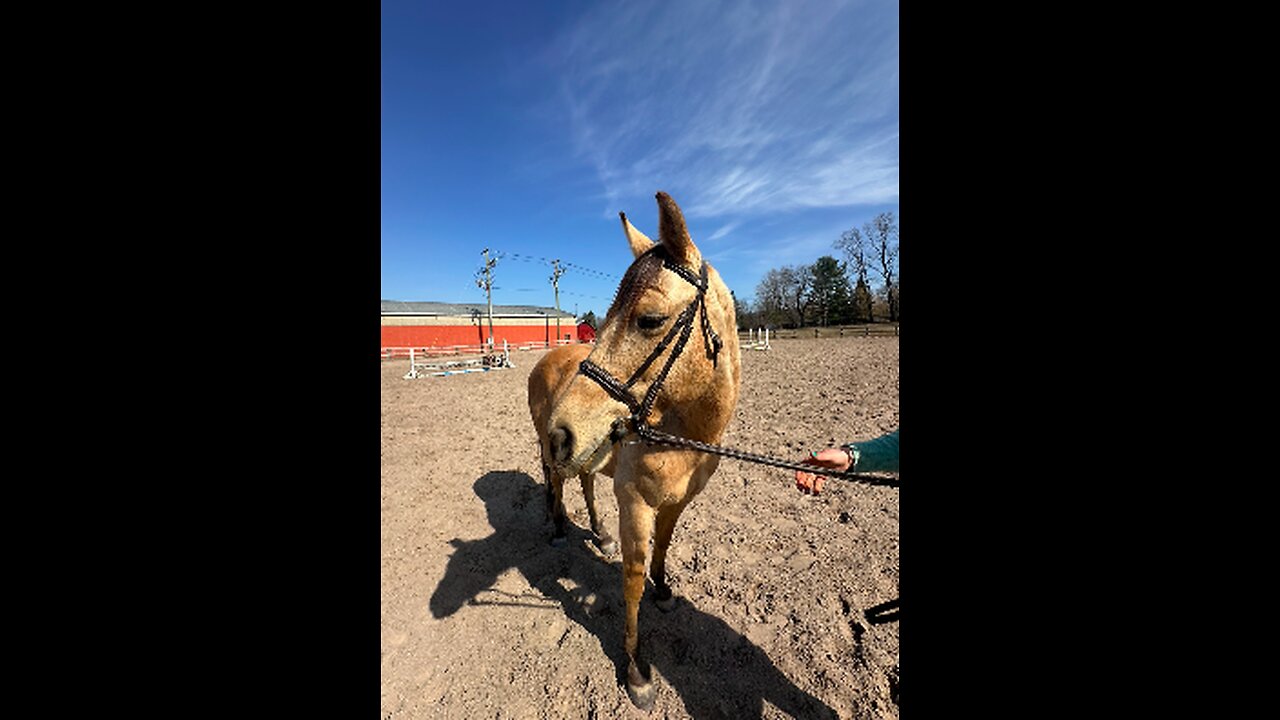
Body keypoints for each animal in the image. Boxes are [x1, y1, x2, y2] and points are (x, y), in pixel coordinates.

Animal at [540, 190, 742, 707]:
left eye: (649, 320)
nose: (561, 432)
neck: (681, 432)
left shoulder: (676, 502)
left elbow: (662, 549)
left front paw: (664, 591)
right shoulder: (634, 502)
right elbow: (631, 580)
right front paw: (635, 669)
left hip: (584, 458)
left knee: (584, 482)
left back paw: (598, 533)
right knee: (557, 483)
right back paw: (558, 529)